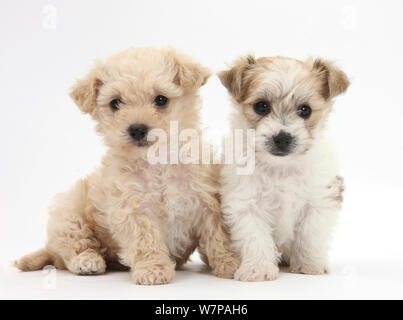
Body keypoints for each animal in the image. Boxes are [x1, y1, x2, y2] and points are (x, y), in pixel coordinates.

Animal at [15, 48, 240, 284]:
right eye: (115, 103)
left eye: (161, 100)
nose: (137, 129)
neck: (157, 162)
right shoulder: (132, 209)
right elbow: (145, 239)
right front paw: (153, 269)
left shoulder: (207, 200)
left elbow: (218, 235)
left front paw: (229, 263)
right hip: (68, 209)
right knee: (72, 247)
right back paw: (88, 262)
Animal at [219, 56, 348, 282]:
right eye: (261, 106)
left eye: (305, 110)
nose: (282, 137)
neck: (281, 167)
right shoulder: (247, 204)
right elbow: (255, 237)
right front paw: (259, 268)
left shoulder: (319, 201)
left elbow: (310, 234)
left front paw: (309, 264)